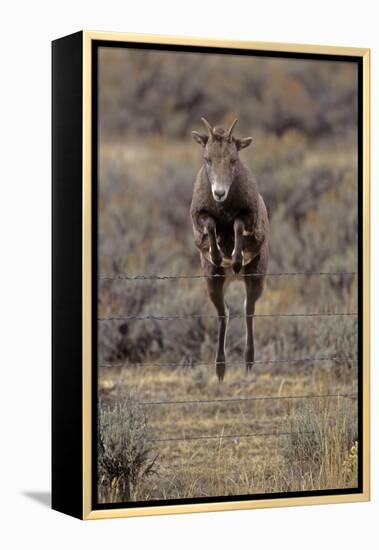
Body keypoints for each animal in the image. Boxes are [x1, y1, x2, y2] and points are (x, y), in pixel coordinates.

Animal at [190, 116, 270, 384]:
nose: (219, 192)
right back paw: (220, 369)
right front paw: (218, 256)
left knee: (248, 311)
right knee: (224, 313)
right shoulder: (202, 217)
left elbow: (236, 225)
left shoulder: (247, 217)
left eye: (233, 159)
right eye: (207, 158)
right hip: (213, 282)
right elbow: (211, 226)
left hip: (255, 277)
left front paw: (234, 259)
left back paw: (248, 364)